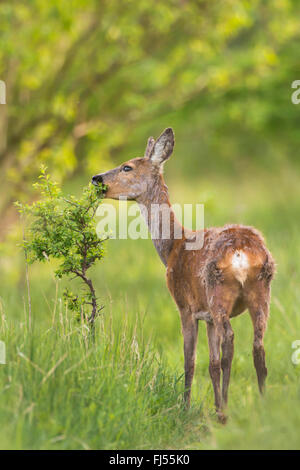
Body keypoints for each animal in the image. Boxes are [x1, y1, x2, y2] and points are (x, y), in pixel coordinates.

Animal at [92, 129, 276, 422]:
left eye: (126, 167)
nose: (96, 178)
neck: (172, 247)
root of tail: (242, 253)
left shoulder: (185, 306)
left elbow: (190, 361)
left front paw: (186, 407)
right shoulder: (207, 316)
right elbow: (212, 363)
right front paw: (213, 405)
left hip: (218, 292)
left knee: (231, 340)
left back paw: (226, 413)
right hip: (260, 292)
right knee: (257, 346)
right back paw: (261, 406)